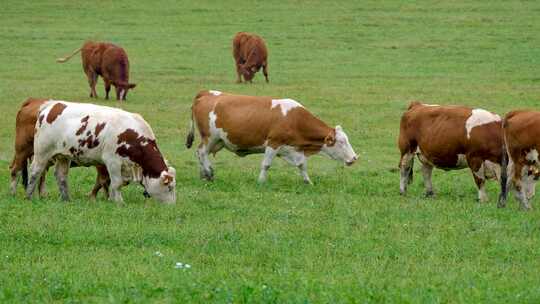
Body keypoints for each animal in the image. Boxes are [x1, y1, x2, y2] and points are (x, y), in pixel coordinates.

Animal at [26, 100, 176, 204]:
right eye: (169, 187)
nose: (172, 206)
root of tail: (51, 105)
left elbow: (117, 183)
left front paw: (112, 199)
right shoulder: (112, 161)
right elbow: (117, 182)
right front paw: (119, 202)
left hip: (63, 156)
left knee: (61, 175)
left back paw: (66, 199)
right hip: (42, 152)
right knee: (35, 171)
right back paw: (28, 196)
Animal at [186, 90, 358, 184]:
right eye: (341, 142)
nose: (354, 158)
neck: (295, 119)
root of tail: (206, 93)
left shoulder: (292, 149)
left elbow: (302, 165)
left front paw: (308, 182)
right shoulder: (273, 143)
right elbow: (266, 164)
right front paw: (261, 181)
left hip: (218, 141)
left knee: (201, 155)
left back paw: (204, 174)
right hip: (210, 137)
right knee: (201, 152)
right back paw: (208, 173)